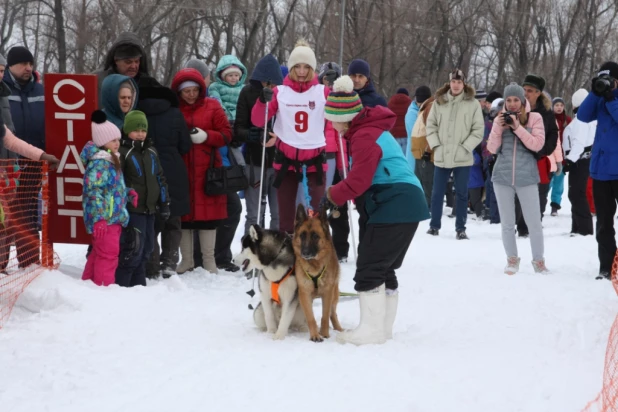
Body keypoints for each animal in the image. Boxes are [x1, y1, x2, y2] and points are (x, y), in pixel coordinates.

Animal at [292, 203, 344, 342]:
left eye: (315, 236)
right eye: (302, 235)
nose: (305, 253)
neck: (314, 265)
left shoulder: (327, 293)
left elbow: (325, 316)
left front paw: (324, 333)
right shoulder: (304, 294)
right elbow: (310, 317)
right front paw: (315, 335)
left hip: (334, 293)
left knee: (333, 313)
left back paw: (338, 329)